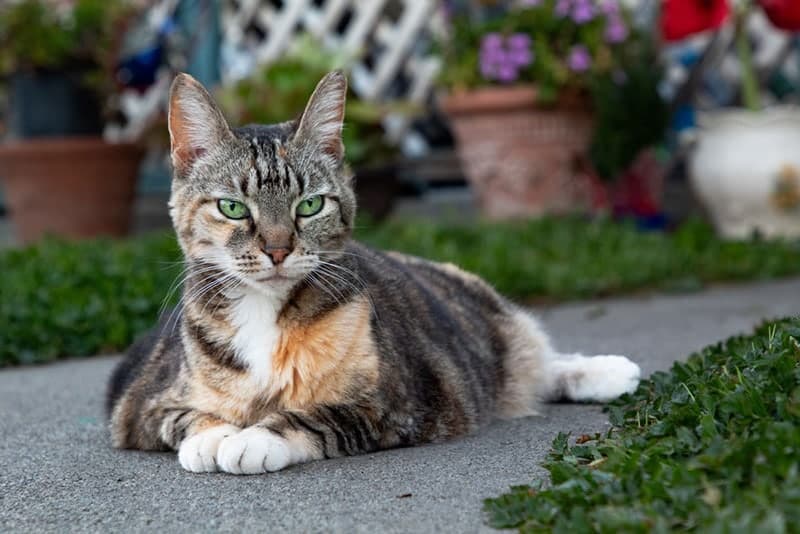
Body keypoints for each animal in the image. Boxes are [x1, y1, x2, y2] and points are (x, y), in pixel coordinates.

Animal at [108, 71, 644, 478]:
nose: (278, 249)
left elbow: (317, 416)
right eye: (233, 207)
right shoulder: (136, 406)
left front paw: (254, 438)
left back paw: (611, 371)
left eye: (310, 205)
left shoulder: (394, 403)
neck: (265, 314)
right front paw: (213, 436)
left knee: (537, 358)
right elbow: (184, 416)